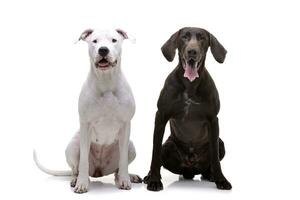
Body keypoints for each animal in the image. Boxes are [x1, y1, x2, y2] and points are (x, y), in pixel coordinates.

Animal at [33, 28, 141, 194]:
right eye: (94, 41)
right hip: (72, 147)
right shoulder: (85, 125)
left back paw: (129, 176)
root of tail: (99, 171)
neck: (106, 81)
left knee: (117, 169)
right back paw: (75, 180)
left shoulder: (125, 124)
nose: (103, 50)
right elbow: (83, 160)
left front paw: (125, 180)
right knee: (75, 169)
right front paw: (82, 184)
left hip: (131, 147)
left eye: (114, 40)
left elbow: (123, 161)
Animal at [144, 27, 232, 191]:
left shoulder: (213, 120)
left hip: (221, 143)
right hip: (169, 145)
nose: (192, 51)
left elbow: (215, 158)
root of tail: (189, 169)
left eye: (202, 38)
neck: (190, 85)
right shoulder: (161, 116)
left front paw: (221, 180)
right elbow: (155, 152)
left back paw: (210, 175)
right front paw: (154, 180)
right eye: (184, 37)